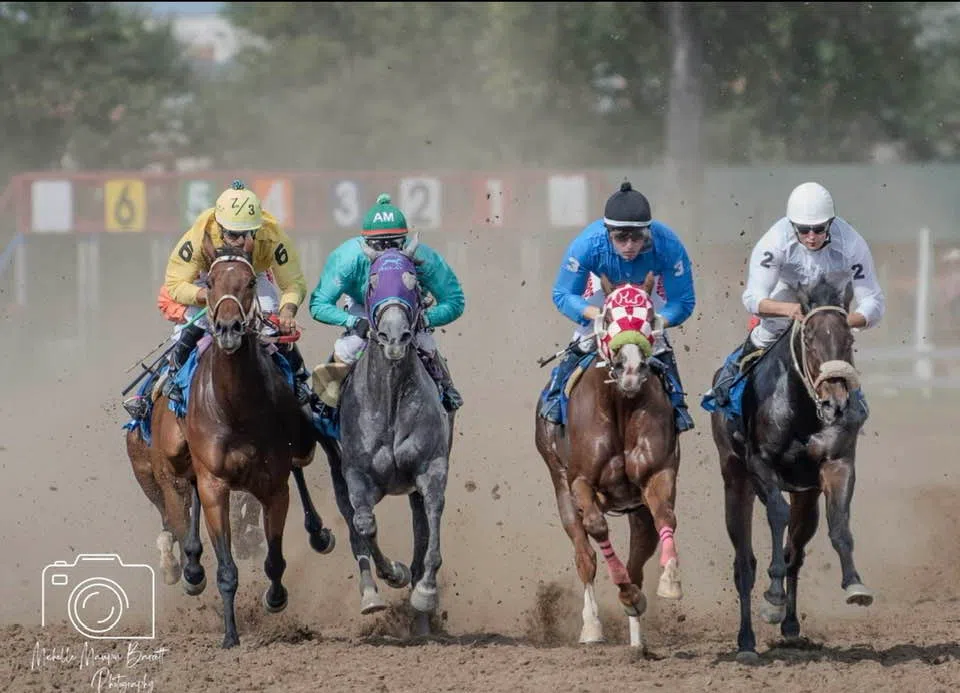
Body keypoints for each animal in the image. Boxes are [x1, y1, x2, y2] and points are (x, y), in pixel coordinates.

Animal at [125, 230, 335, 649]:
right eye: (209, 283)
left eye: (250, 282)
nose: (227, 329)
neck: (236, 406)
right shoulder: (213, 484)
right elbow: (225, 567)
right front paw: (230, 635)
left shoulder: (274, 486)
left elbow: (274, 558)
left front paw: (275, 598)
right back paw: (188, 567)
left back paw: (318, 532)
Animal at [322, 234, 454, 637]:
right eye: (372, 282)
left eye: (413, 281)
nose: (394, 336)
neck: (391, 399)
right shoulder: (356, 473)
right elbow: (365, 524)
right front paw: (392, 574)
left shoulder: (432, 466)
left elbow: (433, 515)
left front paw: (424, 592)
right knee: (354, 526)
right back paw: (371, 594)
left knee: (420, 525)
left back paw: (421, 620)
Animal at [534, 272, 684, 650]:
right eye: (609, 313)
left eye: (648, 314)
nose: (630, 367)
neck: (621, 402)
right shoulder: (580, 482)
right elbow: (596, 528)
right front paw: (623, 596)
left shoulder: (657, 474)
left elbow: (665, 517)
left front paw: (669, 582)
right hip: (559, 484)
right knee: (584, 555)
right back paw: (592, 626)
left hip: (636, 509)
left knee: (639, 554)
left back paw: (637, 637)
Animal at [707, 275, 873, 663]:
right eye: (809, 339)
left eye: (849, 339)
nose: (836, 403)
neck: (802, 411)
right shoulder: (760, 465)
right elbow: (776, 516)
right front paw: (772, 598)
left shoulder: (837, 464)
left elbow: (839, 524)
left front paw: (854, 583)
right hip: (735, 482)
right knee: (744, 564)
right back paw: (747, 641)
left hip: (806, 497)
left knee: (795, 552)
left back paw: (792, 626)